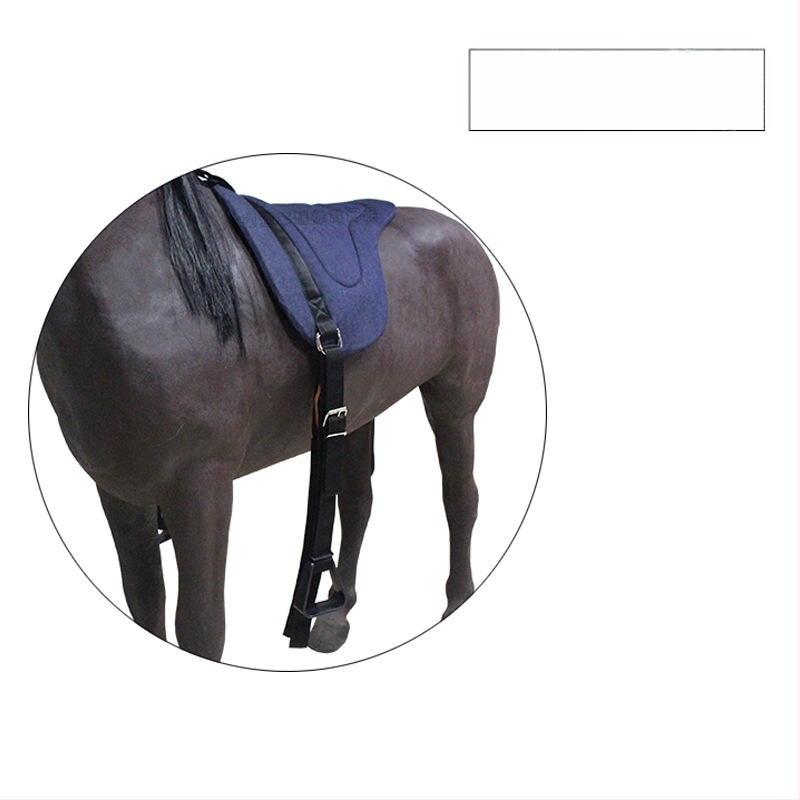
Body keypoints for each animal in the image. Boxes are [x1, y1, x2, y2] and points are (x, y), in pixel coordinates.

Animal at [36, 170, 500, 662]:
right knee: (359, 502)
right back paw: (335, 619)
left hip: (454, 401)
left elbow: (201, 626)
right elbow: (145, 600)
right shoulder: (120, 488)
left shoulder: (201, 485)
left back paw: (456, 602)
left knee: (460, 498)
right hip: (360, 407)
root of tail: (462, 236)